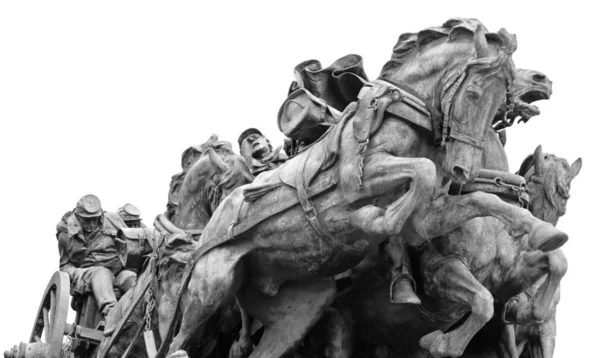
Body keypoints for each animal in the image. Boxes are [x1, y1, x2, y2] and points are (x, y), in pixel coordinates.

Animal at [165, 18, 568, 358]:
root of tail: (211, 227)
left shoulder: (430, 219)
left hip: (298, 305)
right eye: (473, 96)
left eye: (500, 97)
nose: (542, 80)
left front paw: (544, 236)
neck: (404, 114)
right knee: (180, 341)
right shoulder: (360, 186)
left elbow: (489, 211)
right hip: (212, 284)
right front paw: (378, 220)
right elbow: (420, 175)